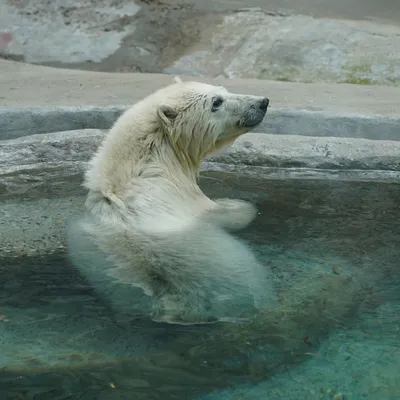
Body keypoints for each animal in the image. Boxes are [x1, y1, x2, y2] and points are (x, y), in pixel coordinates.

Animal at [67, 77, 276, 324]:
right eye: (216, 102)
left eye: (224, 90)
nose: (262, 102)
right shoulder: (184, 196)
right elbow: (224, 213)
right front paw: (243, 206)